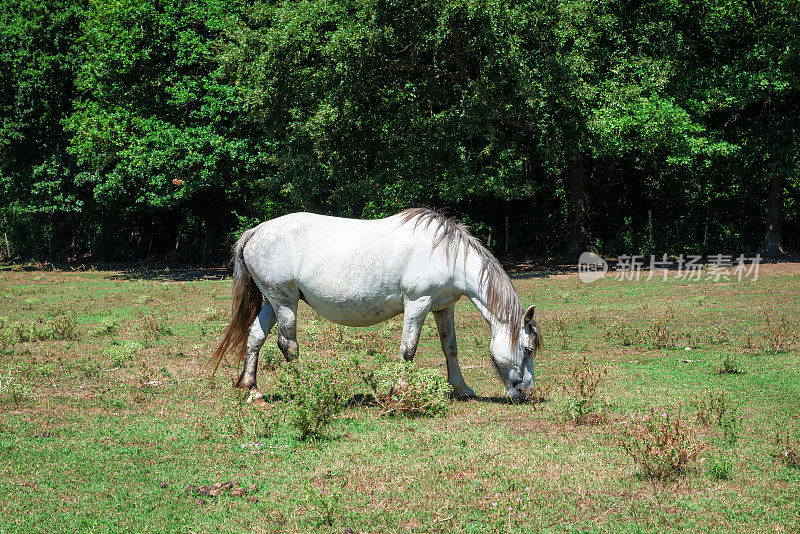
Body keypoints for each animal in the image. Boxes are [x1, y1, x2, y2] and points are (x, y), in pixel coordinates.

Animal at [209, 209, 540, 402]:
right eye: (527, 349)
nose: (527, 393)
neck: (446, 254)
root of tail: (256, 232)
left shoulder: (442, 307)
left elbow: (450, 348)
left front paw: (462, 389)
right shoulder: (417, 304)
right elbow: (408, 349)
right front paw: (399, 391)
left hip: (271, 301)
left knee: (255, 336)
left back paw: (252, 389)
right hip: (285, 302)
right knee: (288, 345)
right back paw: (304, 391)